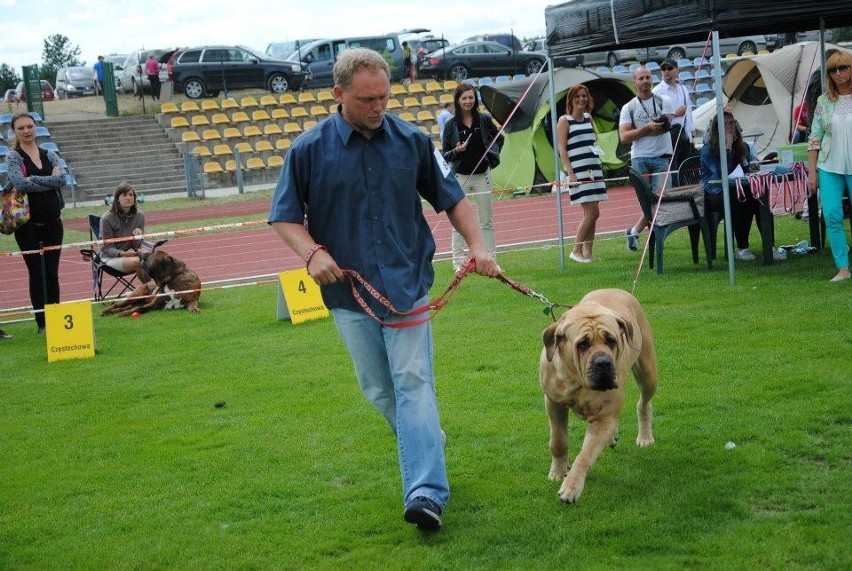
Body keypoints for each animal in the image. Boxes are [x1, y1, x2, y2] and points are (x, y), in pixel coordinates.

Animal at [540, 288, 660, 502]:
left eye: (611, 340)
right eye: (582, 344)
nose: (603, 363)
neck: (576, 379)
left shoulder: (603, 418)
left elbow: (585, 455)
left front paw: (571, 486)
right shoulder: (553, 403)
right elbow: (558, 441)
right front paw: (558, 472)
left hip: (647, 372)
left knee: (644, 403)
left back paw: (645, 437)